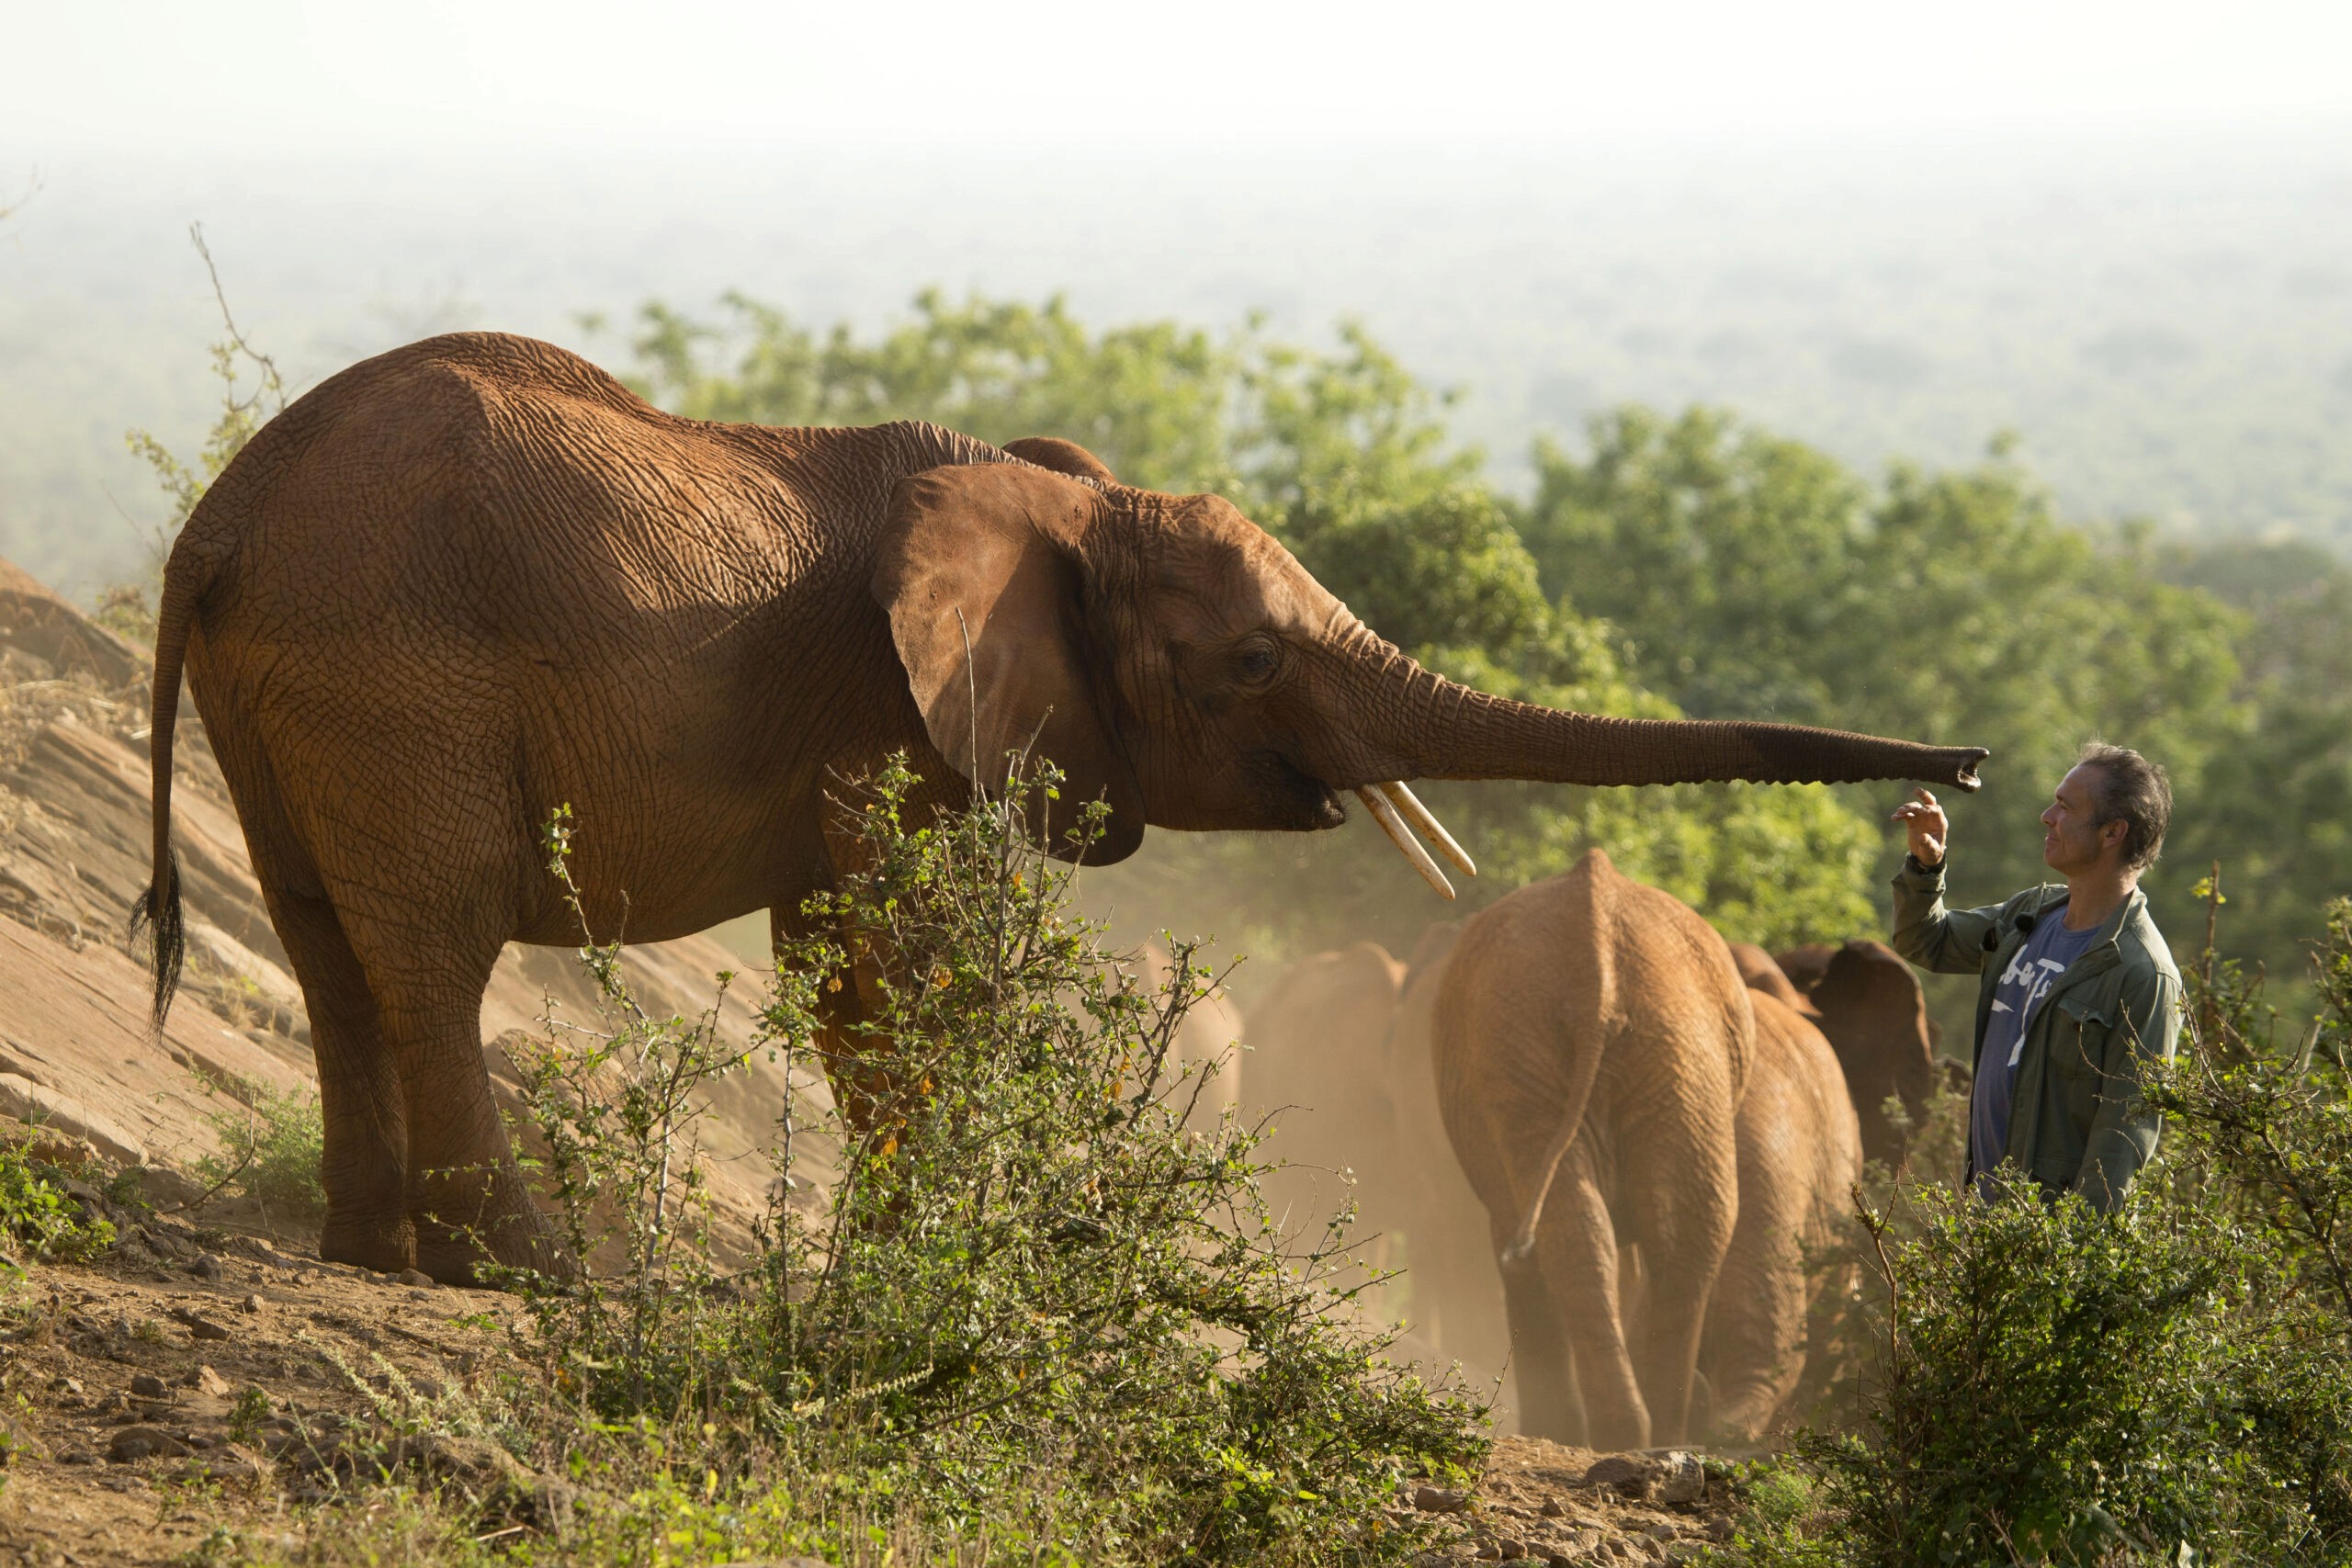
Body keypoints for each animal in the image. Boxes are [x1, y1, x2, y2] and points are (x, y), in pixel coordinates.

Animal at [137, 330, 1987, 1282]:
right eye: (1249, 660)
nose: (1964, 774)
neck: (1052, 498)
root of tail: (213, 528)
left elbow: (857, 958)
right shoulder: (878, 708)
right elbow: (884, 955)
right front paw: (921, 1271)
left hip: (300, 692)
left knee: (329, 945)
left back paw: (370, 1247)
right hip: (396, 677)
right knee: (431, 949)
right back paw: (527, 1272)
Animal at [1432, 848, 1756, 1449]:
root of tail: (1598, 965)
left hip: (1596, 1050)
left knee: (1613, 1231)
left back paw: (1625, 1436)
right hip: (1666, 1050)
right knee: (1679, 1229)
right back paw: (1644, 1436)